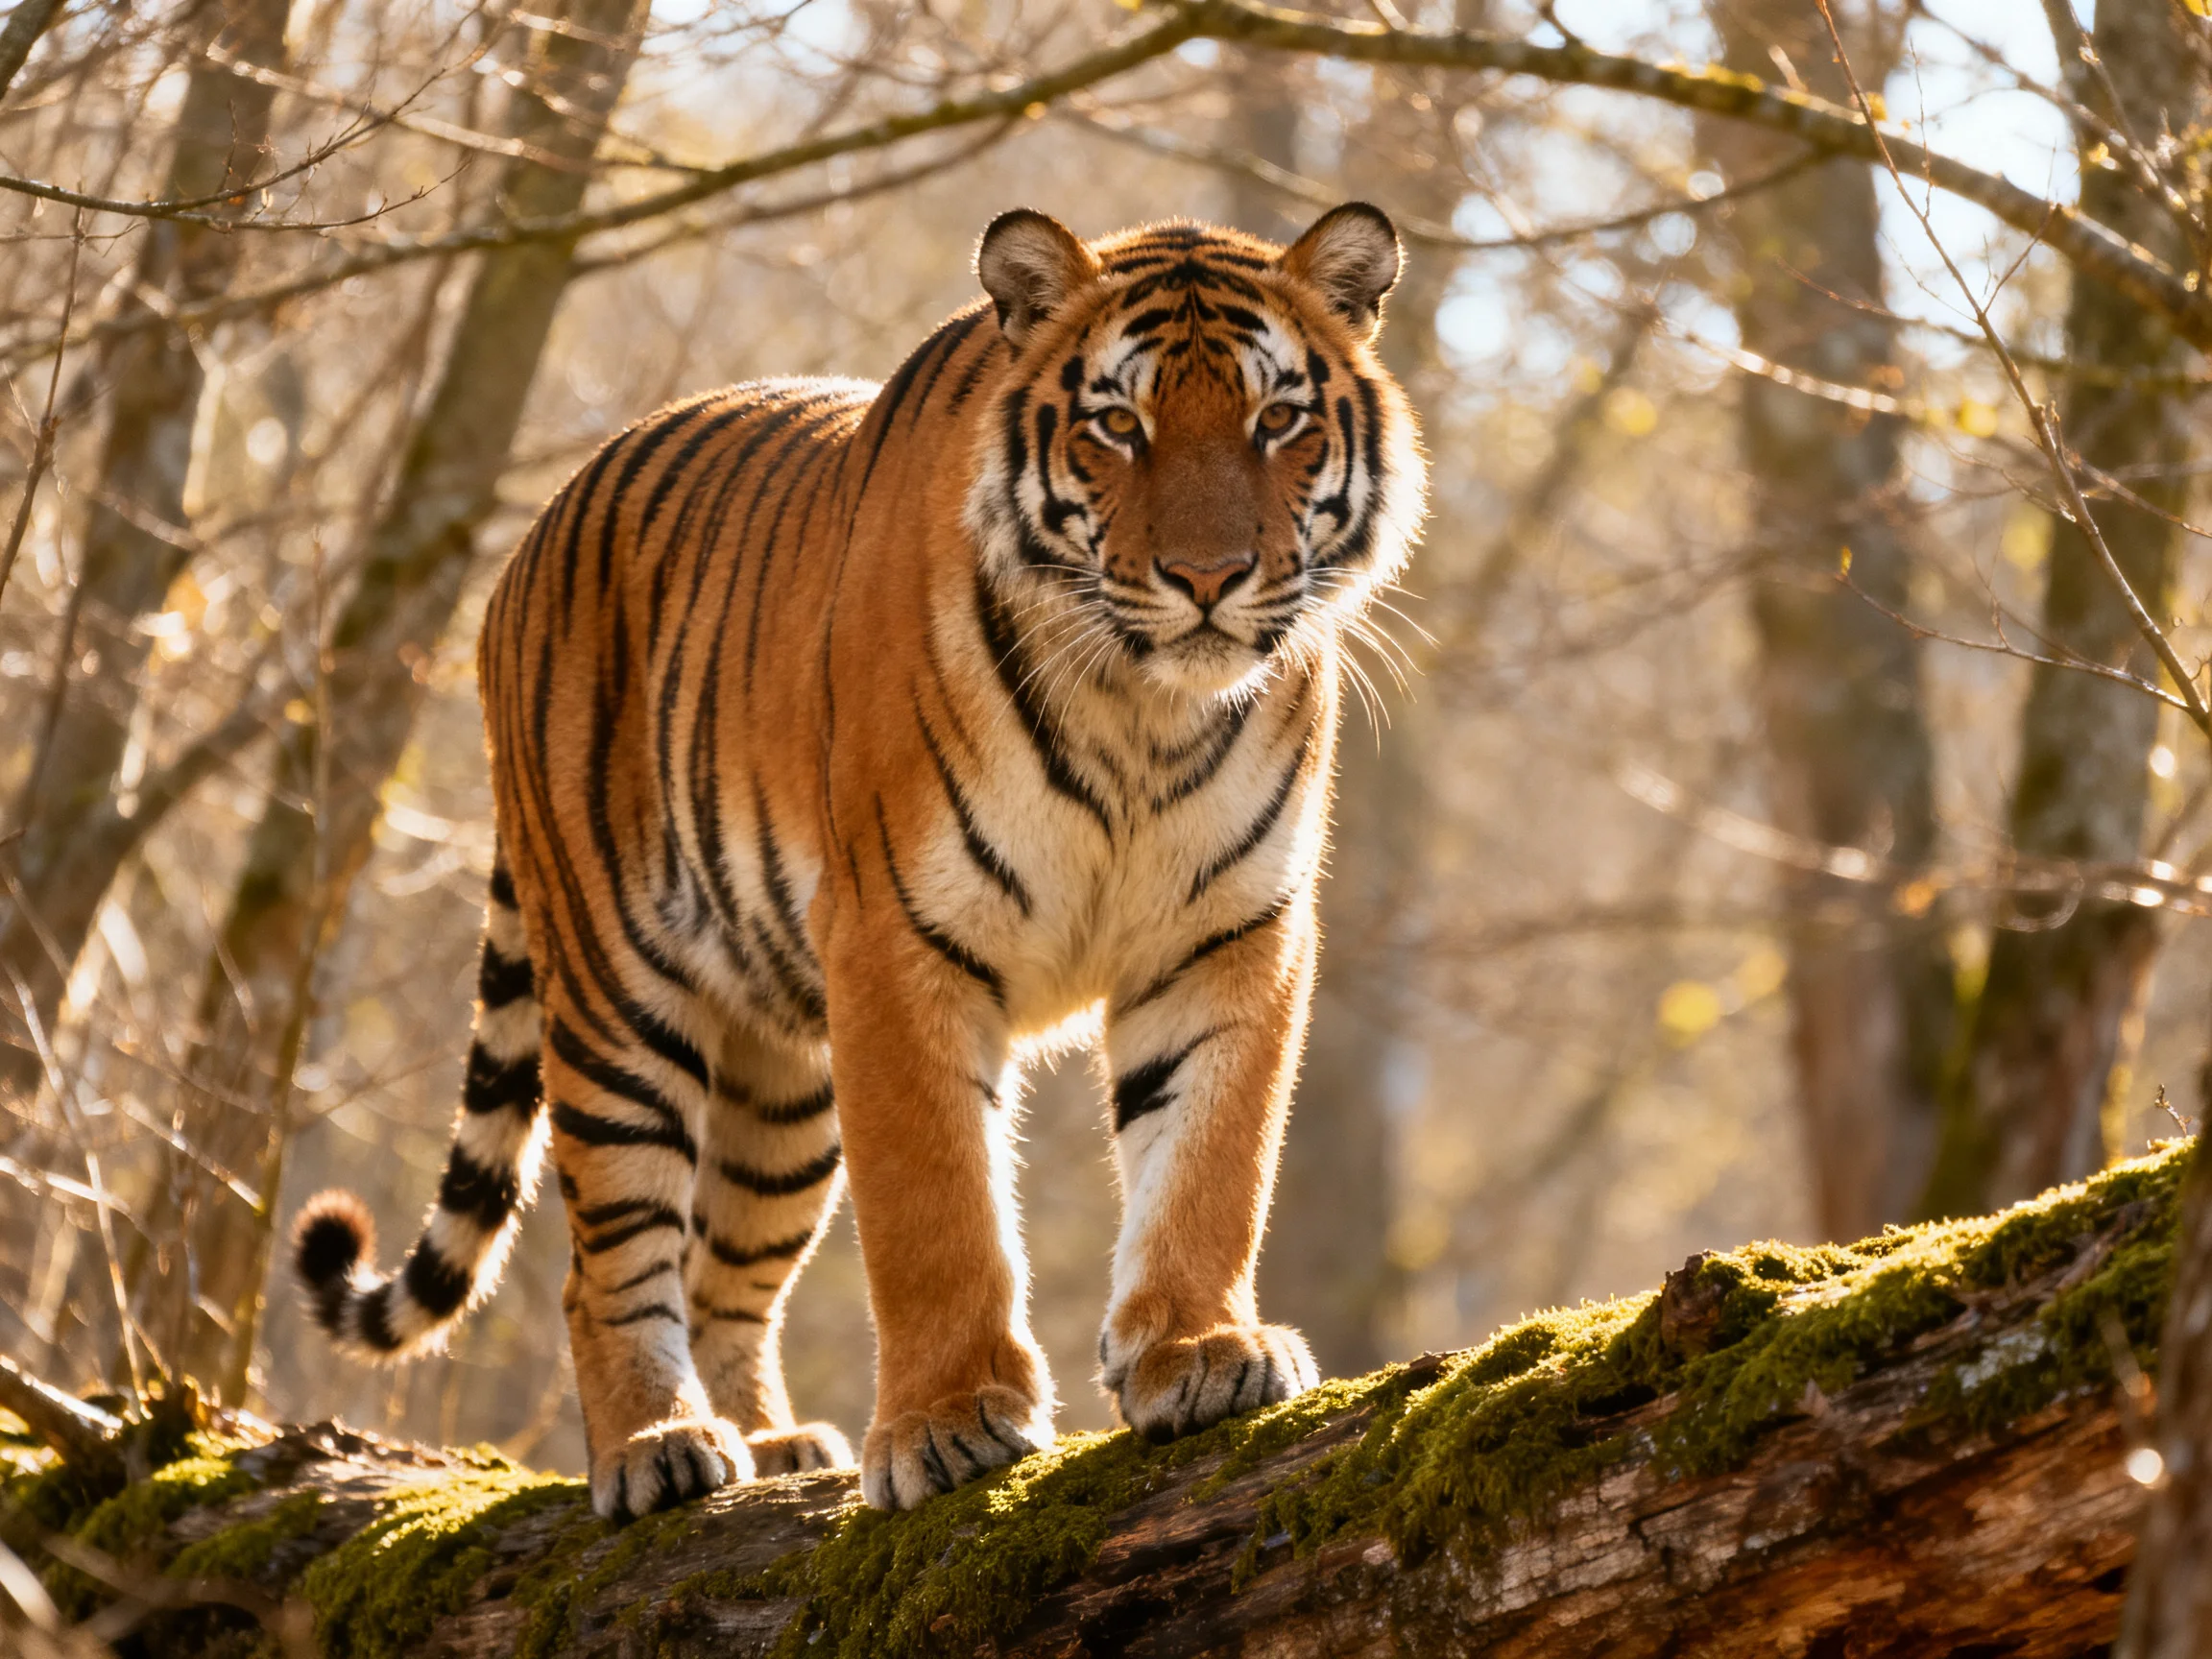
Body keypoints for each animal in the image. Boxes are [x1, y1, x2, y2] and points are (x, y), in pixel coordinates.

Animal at [292, 202, 1425, 1518]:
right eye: (1118, 425)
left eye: (1277, 420)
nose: (1207, 579)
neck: (1140, 714)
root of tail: (529, 544)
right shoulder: (898, 939)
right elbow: (936, 1209)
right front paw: (947, 1424)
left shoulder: (1229, 933)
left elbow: (1210, 1160)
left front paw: (1197, 1351)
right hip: (620, 1001)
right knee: (608, 1258)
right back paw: (656, 1447)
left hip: (784, 1076)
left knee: (726, 1270)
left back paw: (777, 1443)